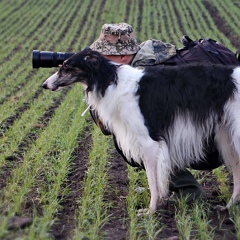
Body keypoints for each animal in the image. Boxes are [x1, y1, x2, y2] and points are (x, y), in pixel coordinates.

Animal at [42, 48, 240, 214]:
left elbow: (153, 182)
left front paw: (151, 212)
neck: (110, 80)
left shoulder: (150, 143)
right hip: (227, 138)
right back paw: (229, 206)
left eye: (66, 67)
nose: (44, 85)